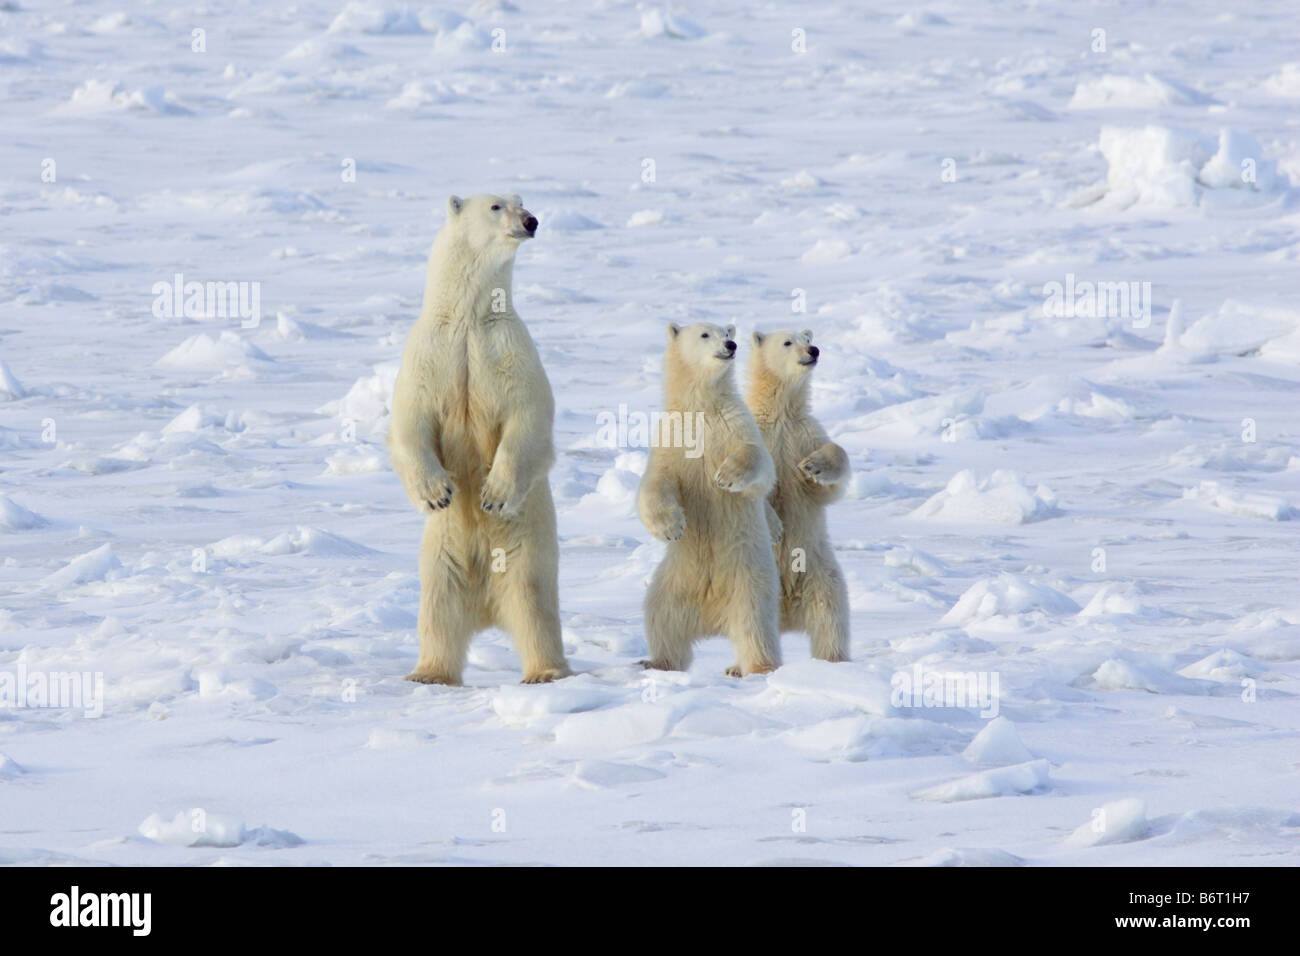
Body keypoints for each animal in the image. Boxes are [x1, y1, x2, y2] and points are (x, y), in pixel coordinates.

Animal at [387, 193, 571, 686]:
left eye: (523, 201)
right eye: (496, 205)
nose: (531, 221)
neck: (469, 316)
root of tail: (486, 609)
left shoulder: (508, 348)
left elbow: (527, 416)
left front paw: (492, 494)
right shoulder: (432, 350)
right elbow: (411, 419)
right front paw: (437, 492)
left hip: (525, 547)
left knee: (532, 604)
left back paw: (545, 671)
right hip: (441, 553)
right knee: (438, 608)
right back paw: (428, 672)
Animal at [637, 321, 782, 677]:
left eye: (726, 332)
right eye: (705, 334)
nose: (730, 345)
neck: (701, 407)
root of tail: (713, 617)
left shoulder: (734, 424)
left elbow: (759, 464)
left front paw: (726, 476)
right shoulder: (672, 438)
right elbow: (657, 483)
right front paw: (671, 527)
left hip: (750, 582)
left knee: (754, 627)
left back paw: (755, 667)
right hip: (674, 584)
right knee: (661, 619)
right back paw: (656, 662)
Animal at [745, 328, 851, 662]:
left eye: (807, 338)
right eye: (787, 342)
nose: (813, 351)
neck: (780, 413)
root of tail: (787, 615)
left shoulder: (802, 434)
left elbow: (828, 483)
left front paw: (814, 465)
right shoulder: (760, 436)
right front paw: (775, 526)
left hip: (821, 574)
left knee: (830, 618)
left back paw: (833, 660)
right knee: (753, 620)